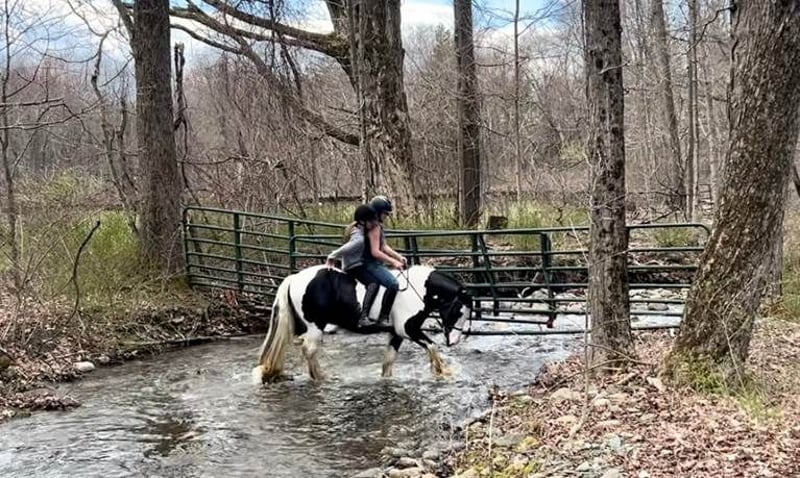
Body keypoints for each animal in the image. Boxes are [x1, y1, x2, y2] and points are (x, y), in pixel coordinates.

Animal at [251, 264, 473, 383]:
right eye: (459, 311)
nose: (453, 341)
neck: (417, 290)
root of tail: (295, 277)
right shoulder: (408, 329)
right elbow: (432, 346)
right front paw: (443, 372)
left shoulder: (397, 333)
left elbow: (389, 360)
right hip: (315, 326)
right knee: (309, 350)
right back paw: (321, 377)